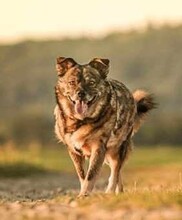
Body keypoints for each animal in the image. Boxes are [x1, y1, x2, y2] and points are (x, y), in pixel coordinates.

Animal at [54, 56, 155, 196]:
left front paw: (84, 195)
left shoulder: (98, 148)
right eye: (72, 82)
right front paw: (83, 193)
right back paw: (118, 192)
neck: (81, 121)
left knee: (115, 171)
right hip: (108, 155)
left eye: (91, 83)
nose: (80, 93)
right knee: (118, 173)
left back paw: (110, 192)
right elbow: (82, 175)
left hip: (118, 148)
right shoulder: (73, 150)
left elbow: (91, 175)